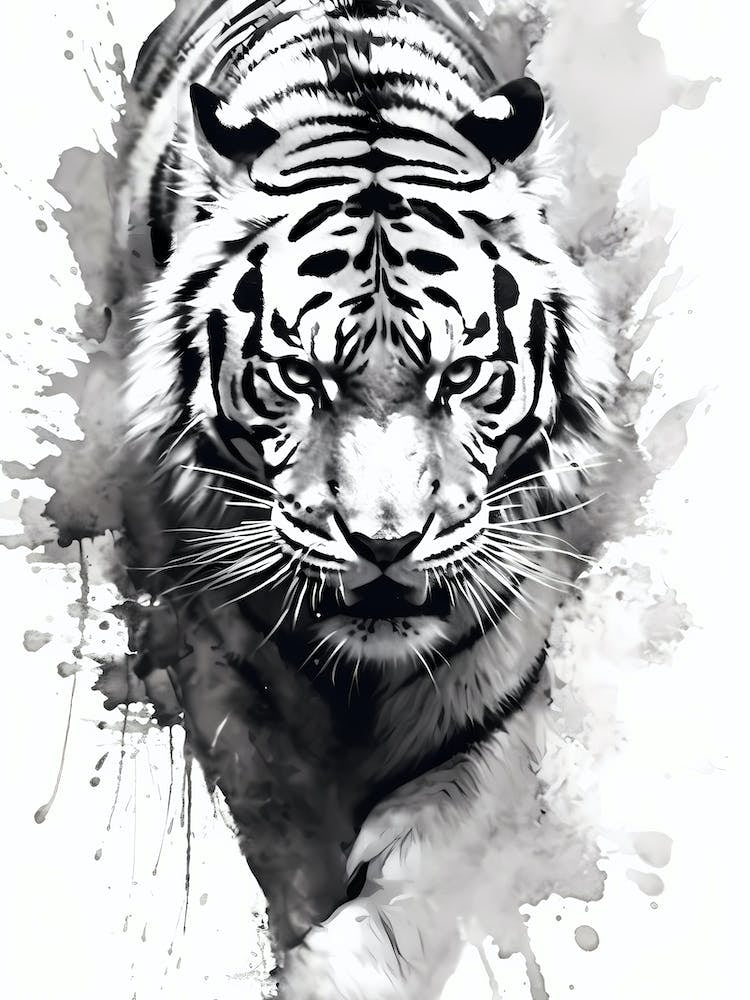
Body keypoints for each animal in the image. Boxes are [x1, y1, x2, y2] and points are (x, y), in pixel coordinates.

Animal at [115, 0, 621, 996]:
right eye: (299, 377)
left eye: (459, 375)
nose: (384, 544)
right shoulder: (227, 680)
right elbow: (285, 837)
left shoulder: (490, 713)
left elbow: (416, 892)